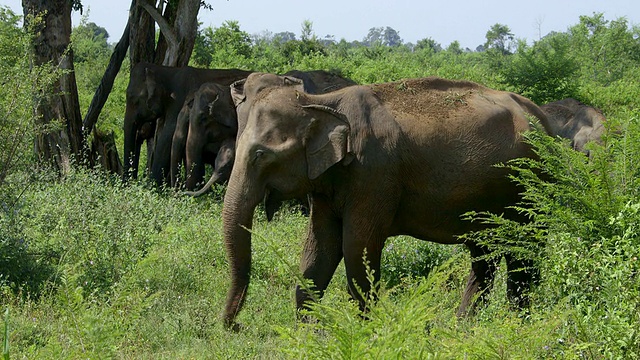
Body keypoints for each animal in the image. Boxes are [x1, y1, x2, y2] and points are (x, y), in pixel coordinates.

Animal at [121, 61, 251, 183]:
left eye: (135, 100)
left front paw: (153, 185)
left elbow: (167, 135)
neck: (166, 70)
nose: (126, 184)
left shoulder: (178, 100)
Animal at [220, 76, 552, 330]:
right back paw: (462, 325)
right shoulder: (328, 183)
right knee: (485, 254)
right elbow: (319, 251)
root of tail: (542, 118)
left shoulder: (373, 175)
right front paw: (306, 334)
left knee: (523, 253)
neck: (322, 101)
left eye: (260, 154)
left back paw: (518, 324)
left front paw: (364, 332)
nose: (236, 325)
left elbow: (357, 248)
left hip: (530, 186)